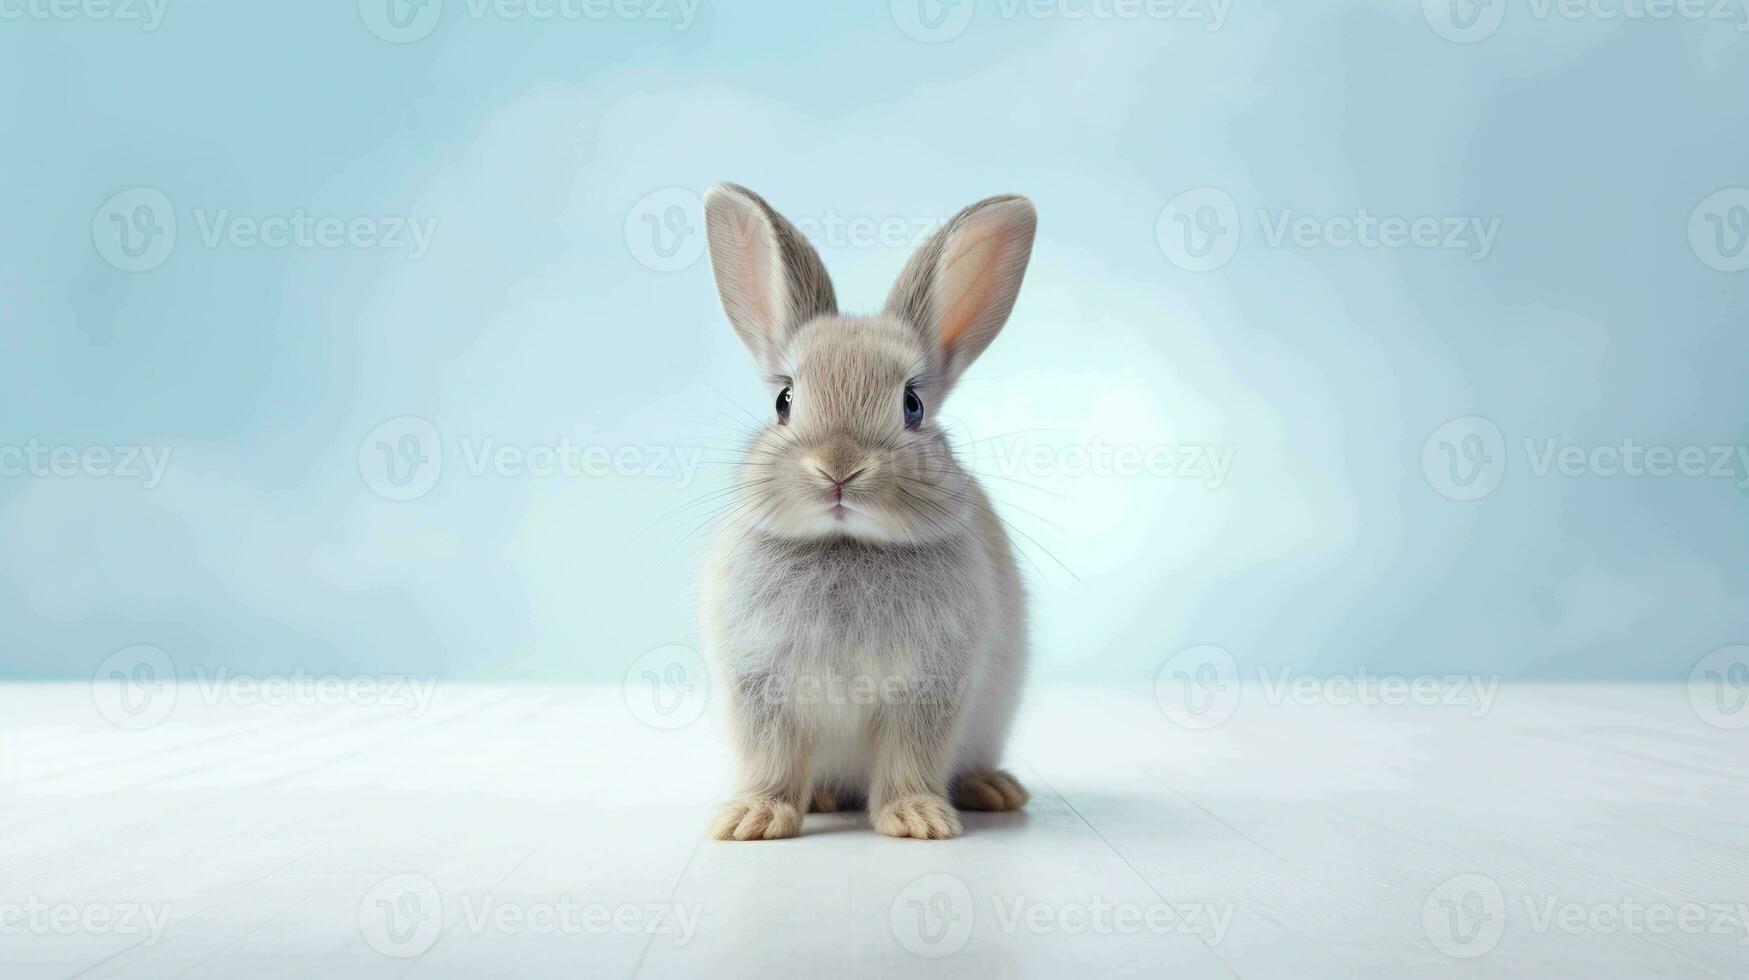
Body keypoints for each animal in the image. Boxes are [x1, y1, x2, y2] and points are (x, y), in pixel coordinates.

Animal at [692, 185, 1028, 843]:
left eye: (913, 405)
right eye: (784, 400)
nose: (838, 468)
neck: (845, 546)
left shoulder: (930, 690)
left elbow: (909, 760)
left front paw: (918, 820)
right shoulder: (759, 688)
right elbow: (771, 760)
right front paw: (753, 819)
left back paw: (995, 790)